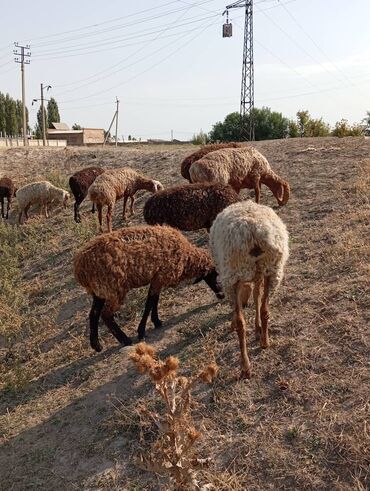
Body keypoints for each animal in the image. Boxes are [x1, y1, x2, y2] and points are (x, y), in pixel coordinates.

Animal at [72, 225, 223, 352]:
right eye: (214, 275)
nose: (222, 295)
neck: (186, 258)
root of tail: (80, 270)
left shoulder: (157, 279)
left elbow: (154, 300)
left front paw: (156, 321)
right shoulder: (160, 276)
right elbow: (149, 303)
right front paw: (142, 331)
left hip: (100, 291)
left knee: (93, 314)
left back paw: (97, 345)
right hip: (114, 288)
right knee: (106, 314)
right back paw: (125, 340)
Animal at [210, 200, 288, 380]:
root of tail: (255, 231)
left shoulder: (234, 281)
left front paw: (234, 324)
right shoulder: (259, 274)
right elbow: (256, 296)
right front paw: (258, 328)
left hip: (233, 273)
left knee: (241, 322)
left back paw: (245, 366)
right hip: (272, 270)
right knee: (265, 309)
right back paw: (265, 342)